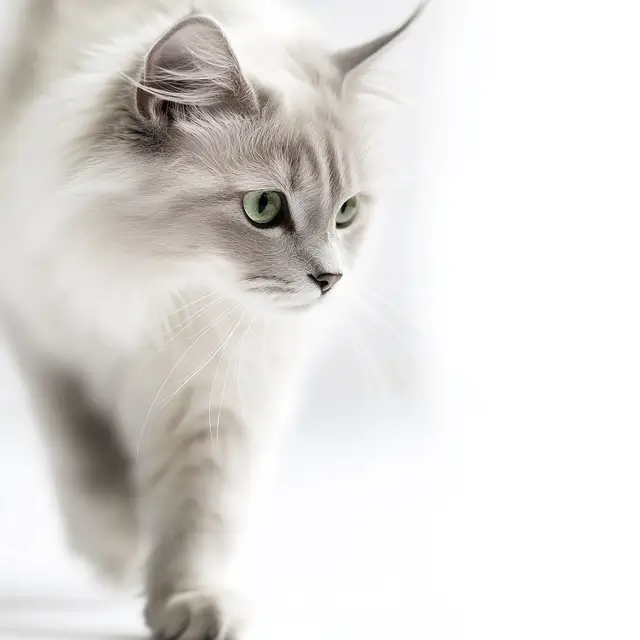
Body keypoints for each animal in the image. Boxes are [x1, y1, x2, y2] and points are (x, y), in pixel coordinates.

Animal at [0, 2, 428, 636]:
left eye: (347, 213)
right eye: (264, 208)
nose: (330, 280)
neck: (163, 293)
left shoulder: (220, 392)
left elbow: (200, 511)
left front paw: (191, 602)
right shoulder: (47, 340)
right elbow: (88, 450)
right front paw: (116, 544)